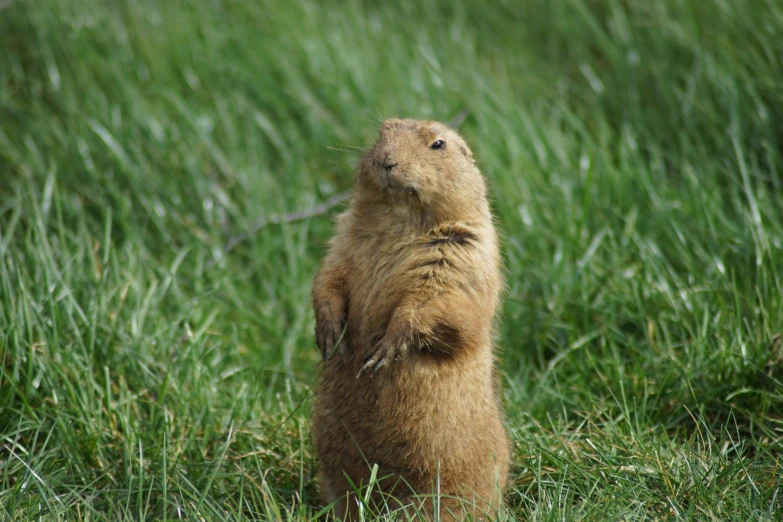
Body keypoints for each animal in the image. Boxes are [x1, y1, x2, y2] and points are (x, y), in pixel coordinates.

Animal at [310, 119, 508, 520]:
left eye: (438, 144)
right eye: (380, 134)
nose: (387, 160)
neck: (400, 219)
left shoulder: (463, 253)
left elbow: (436, 301)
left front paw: (383, 350)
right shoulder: (342, 237)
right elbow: (329, 276)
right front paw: (330, 334)